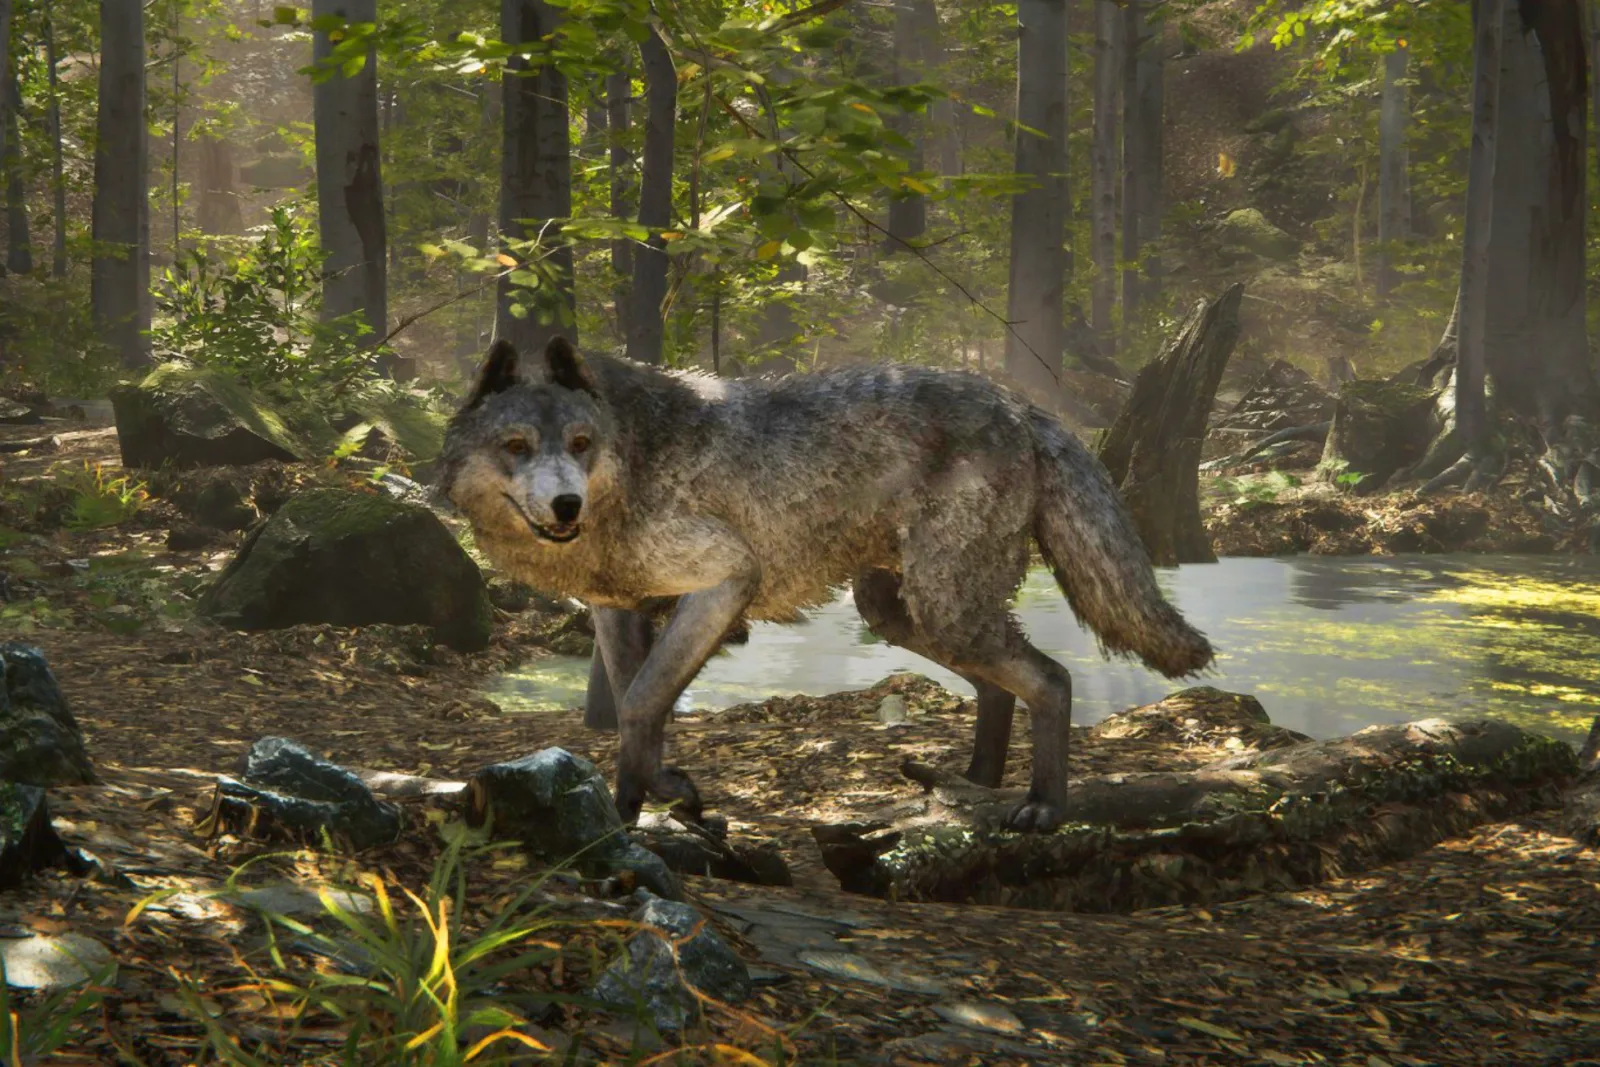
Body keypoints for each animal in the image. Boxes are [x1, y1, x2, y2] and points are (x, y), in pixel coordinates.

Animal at [437, 336, 1214, 832]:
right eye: (516, 447)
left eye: (579, 444)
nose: (566, 505)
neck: (631, 461)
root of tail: (1021, 405)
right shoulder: (617, 611)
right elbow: (640, 705)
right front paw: (655, 797)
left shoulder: (726, 580)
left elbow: (639, 702)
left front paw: (638, 807)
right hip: (901, 611)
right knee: (1000, 686)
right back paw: (973, 786)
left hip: (941, 608)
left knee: (1051, 678)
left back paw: (1043, 808)